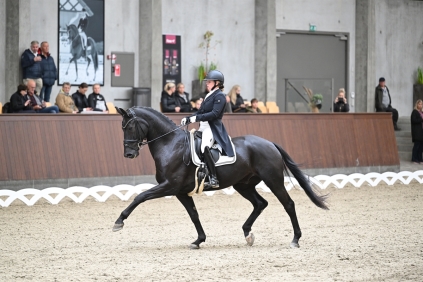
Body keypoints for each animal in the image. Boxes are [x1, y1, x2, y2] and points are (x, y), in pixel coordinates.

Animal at [114, 107, 330, 248]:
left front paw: (119, 221)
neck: (170, 144)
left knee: (288, 205)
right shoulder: (181, 192)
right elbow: (194, 215)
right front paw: (199, 240)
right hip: (243, 185)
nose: (129, 154)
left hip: (273, 180)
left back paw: (295, 239)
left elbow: (140, 196)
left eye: (129, 127)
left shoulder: (169, 186)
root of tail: (269, 143)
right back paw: (247, 233)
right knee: (260, 204)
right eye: (122, 127)